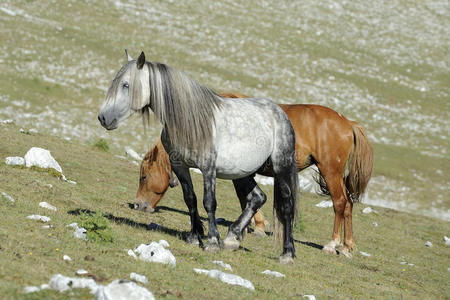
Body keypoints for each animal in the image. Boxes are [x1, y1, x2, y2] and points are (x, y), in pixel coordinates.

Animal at [98, 51, 298, 262]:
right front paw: (195, 236)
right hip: (242, 173)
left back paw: (287, 252)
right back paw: (232, 238)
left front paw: (212, 241)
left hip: (281, 168)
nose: (103, 118)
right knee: (258, 197)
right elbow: (190, 199)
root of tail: (280, 113)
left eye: (126, 85)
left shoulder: (208, 168)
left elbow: (209, 202)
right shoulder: (180, 166)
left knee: (287, 205)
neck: (189, 122)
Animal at [134, 92, 372, 258]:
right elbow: (249, 199)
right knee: (348, 204)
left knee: (340, 203)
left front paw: (249, 229)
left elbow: (248, 198)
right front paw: (245, 229)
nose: (137, 205)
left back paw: (332, 244)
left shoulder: (239, 174)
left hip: (329, 171)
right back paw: (347, 246)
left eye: (143, 177)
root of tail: (348, 123)